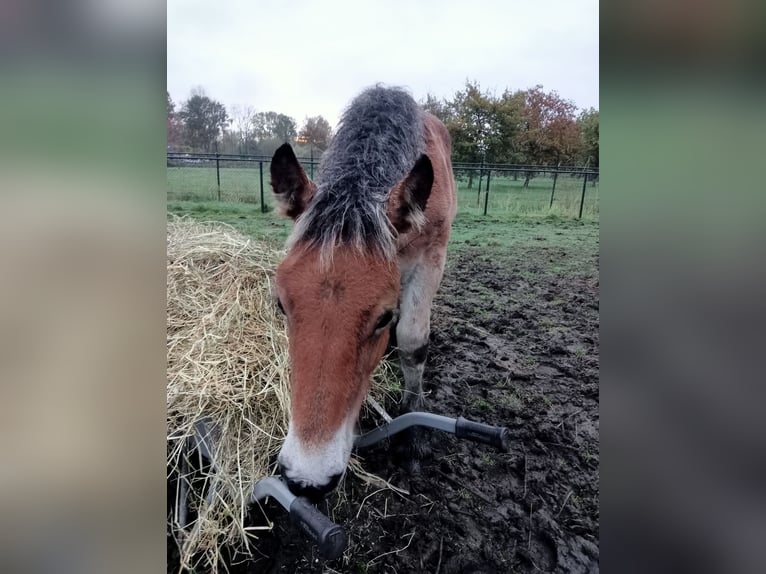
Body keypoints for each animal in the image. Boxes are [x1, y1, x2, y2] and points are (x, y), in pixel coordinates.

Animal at [270, 85, 456, 500]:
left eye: (383, 316)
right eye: (281, 305)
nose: (307, 479)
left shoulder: (432, 256)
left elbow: (413, 340)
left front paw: (411, 435)